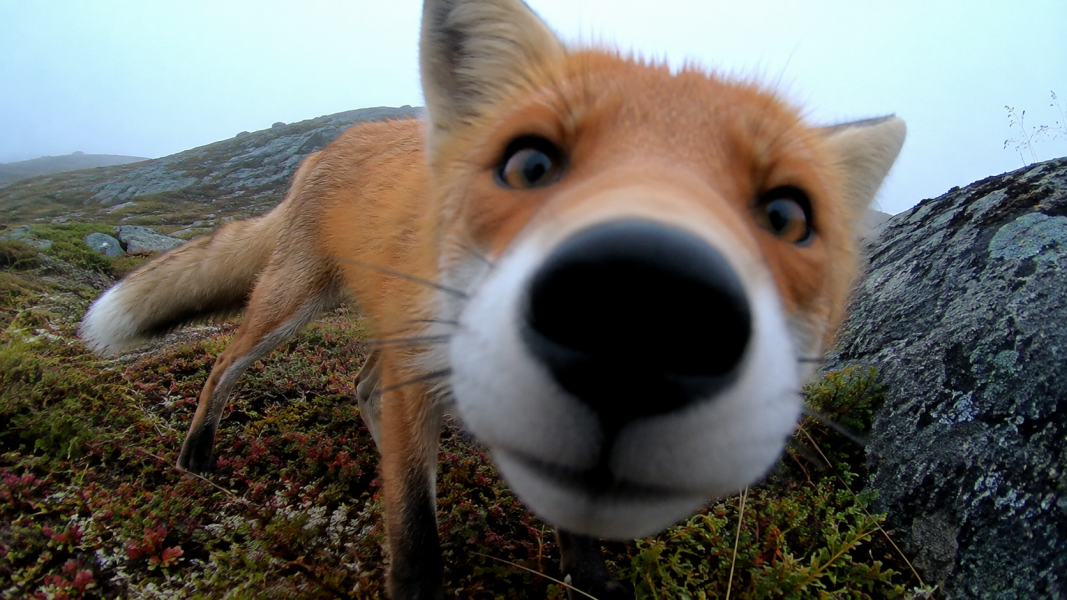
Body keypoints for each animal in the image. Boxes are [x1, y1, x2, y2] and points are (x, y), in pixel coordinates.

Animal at [79, 0, 905, 597]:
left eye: (784, 217)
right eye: (531, 165)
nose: (640, 309)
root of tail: (321, 151)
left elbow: (571, 521)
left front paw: (590, 580)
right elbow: (415, 538)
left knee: (365, 390)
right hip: (293, 310)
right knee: (226, 368)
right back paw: (197, 451)